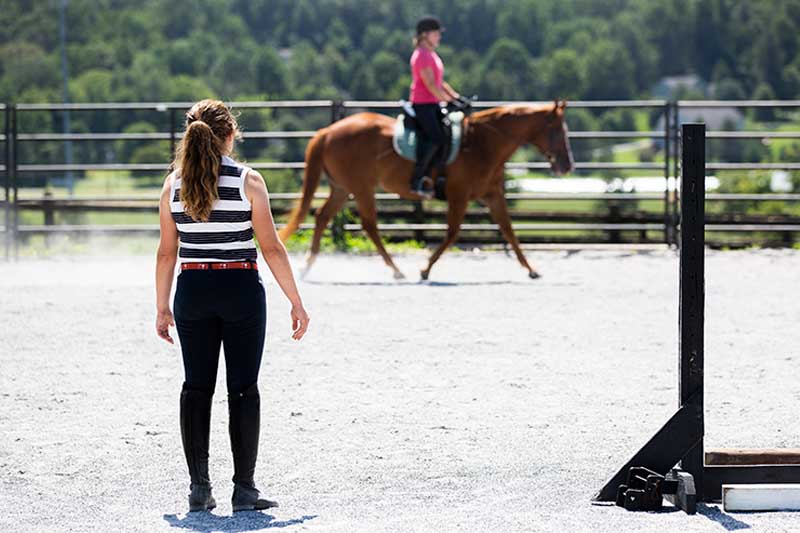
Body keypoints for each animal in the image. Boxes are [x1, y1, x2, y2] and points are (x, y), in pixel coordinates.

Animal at [278, 101, 572, 280]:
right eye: (558, 130)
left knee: (322, 217)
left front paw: (531, 269)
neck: (482, 143)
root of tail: (327, 131)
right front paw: (425, 269)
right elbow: (452, 232)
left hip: (343, 188)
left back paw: (307, 266)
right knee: (369, 225)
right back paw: (396, 269)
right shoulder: (459, 194)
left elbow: (509, 230)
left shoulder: (493, 195)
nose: (567, 165)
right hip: (362, 187)